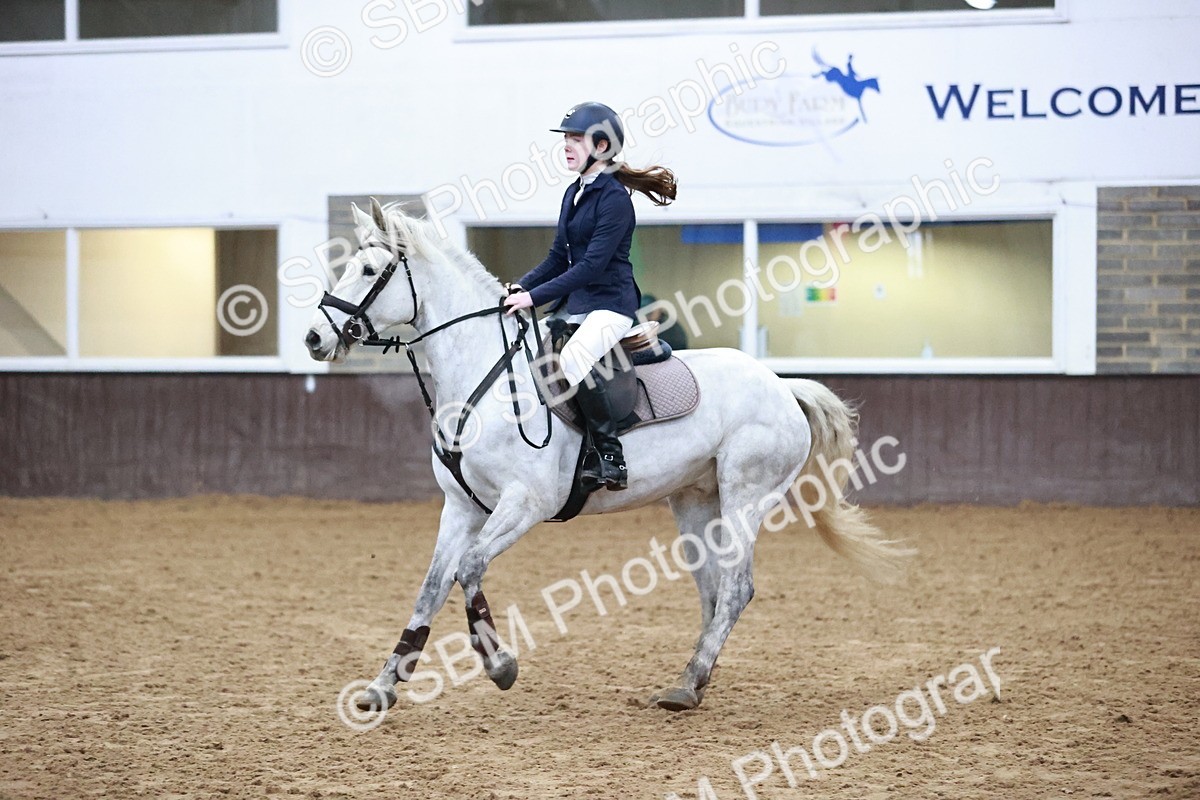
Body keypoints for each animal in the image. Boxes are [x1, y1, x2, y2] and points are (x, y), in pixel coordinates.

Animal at [304, 199, 913, 714]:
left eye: (368, 270)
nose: (313, 338)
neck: (483, 375)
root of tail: (783, 386)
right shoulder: (460, 507)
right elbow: (431, 588)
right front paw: (383, 686)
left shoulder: (525, 504)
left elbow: (468, 569)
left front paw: (500, 665)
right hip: (695, 501)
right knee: (714, 591)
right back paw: (692, 680)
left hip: (746, 496)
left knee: (737, 589)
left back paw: (687, 688)